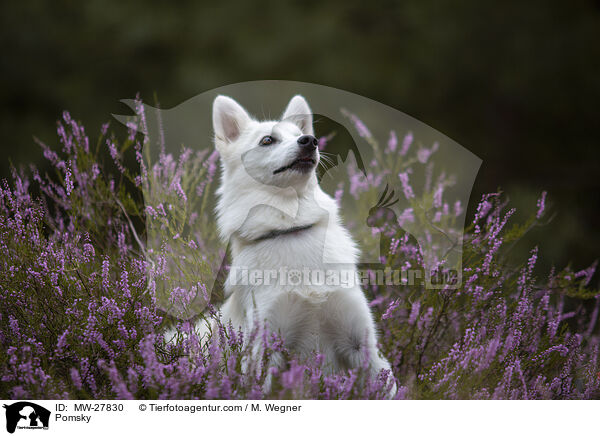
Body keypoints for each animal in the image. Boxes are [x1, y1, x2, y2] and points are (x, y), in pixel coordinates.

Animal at [206, 93, 394, 390]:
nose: (310, 141)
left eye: (300, 135)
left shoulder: (364, 346)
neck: (291, 228)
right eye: (267, 140)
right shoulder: (264, 348)